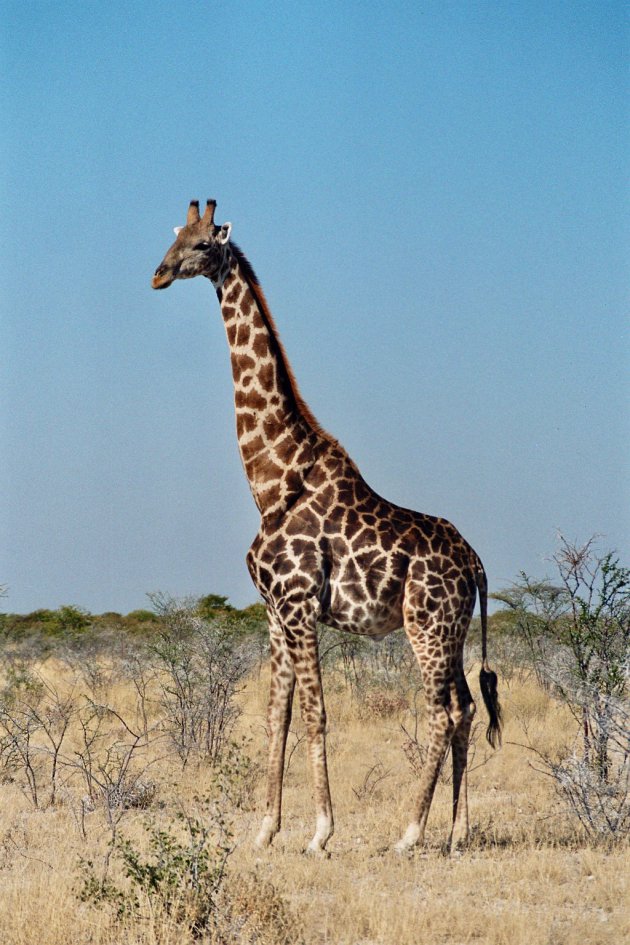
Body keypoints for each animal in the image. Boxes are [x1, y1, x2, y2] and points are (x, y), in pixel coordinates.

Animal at [151, 199, 502, 856]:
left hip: (426, 626)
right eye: (175, 235)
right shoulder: (273, 610)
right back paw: (457, 832)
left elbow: (316, 713)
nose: (158, 274)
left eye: (204, 245)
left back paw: (409, 835)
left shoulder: (298, 603)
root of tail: (476, 564)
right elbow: (277, 715)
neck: (271, 479)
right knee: (467, 709)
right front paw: (265, 831)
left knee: (442, 713)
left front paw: (319, 833)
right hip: (454, 630)